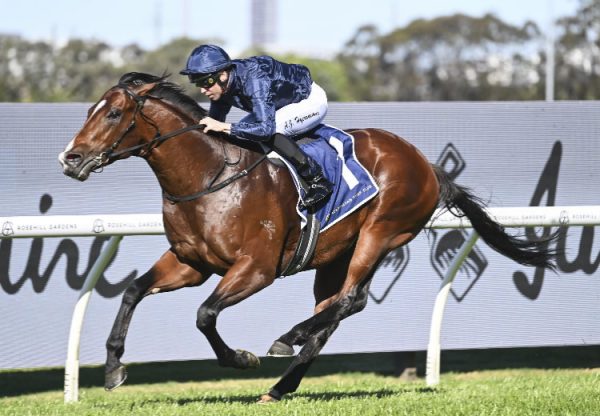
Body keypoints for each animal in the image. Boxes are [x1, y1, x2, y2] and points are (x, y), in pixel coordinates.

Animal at [58, 72, 556, 404]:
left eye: (115, 113)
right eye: (88, 111)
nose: (70, 158)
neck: (211, 176)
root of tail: (426, 164)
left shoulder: (256, 268)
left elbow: (204, 315)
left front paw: (242, 359)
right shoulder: (190, 263)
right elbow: (132, 291)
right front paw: (113, 369)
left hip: (381, 233)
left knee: (349, 300)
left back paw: (287, 338)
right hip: (336, 255)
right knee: (334, 310)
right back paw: (282, 384)